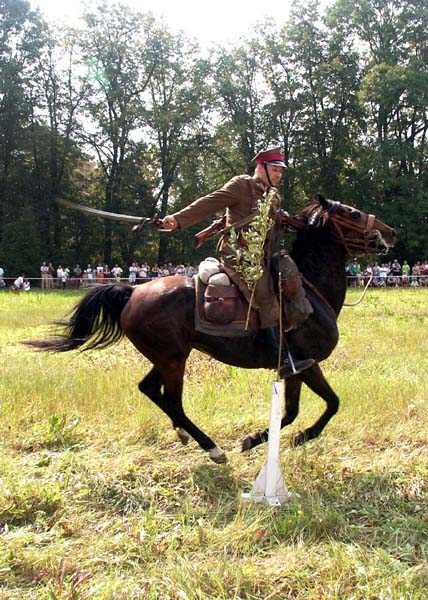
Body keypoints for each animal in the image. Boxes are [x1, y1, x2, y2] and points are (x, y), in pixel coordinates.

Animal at [25, 197, 394, 464]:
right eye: (352, 213)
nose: (389, 232)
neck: (309, 289)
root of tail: (133, 291)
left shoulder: (293, 370)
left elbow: (291, 412)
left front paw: (262, 438)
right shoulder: (307, 364)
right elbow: (331, 403)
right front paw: (293, 437)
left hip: (167, 357)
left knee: (150, 389)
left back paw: (185, 435)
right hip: (173, 360)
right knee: (173, 402)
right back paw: (211, 447)